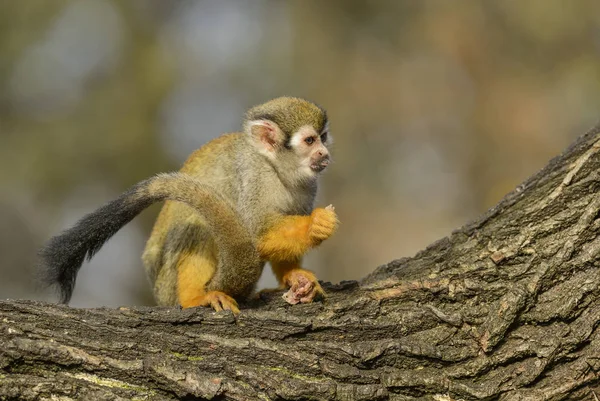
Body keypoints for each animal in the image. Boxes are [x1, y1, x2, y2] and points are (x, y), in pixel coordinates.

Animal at [38, 96, 338, 312]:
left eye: (323, 137)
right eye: (309, 140)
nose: (324, 153)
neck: (276, 169)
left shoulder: (308, 186)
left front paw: (295, 276)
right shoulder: (253, 175)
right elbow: (257, 232)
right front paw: (315, 224)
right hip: (166, 285)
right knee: (196, 227)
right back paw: (195, 297)